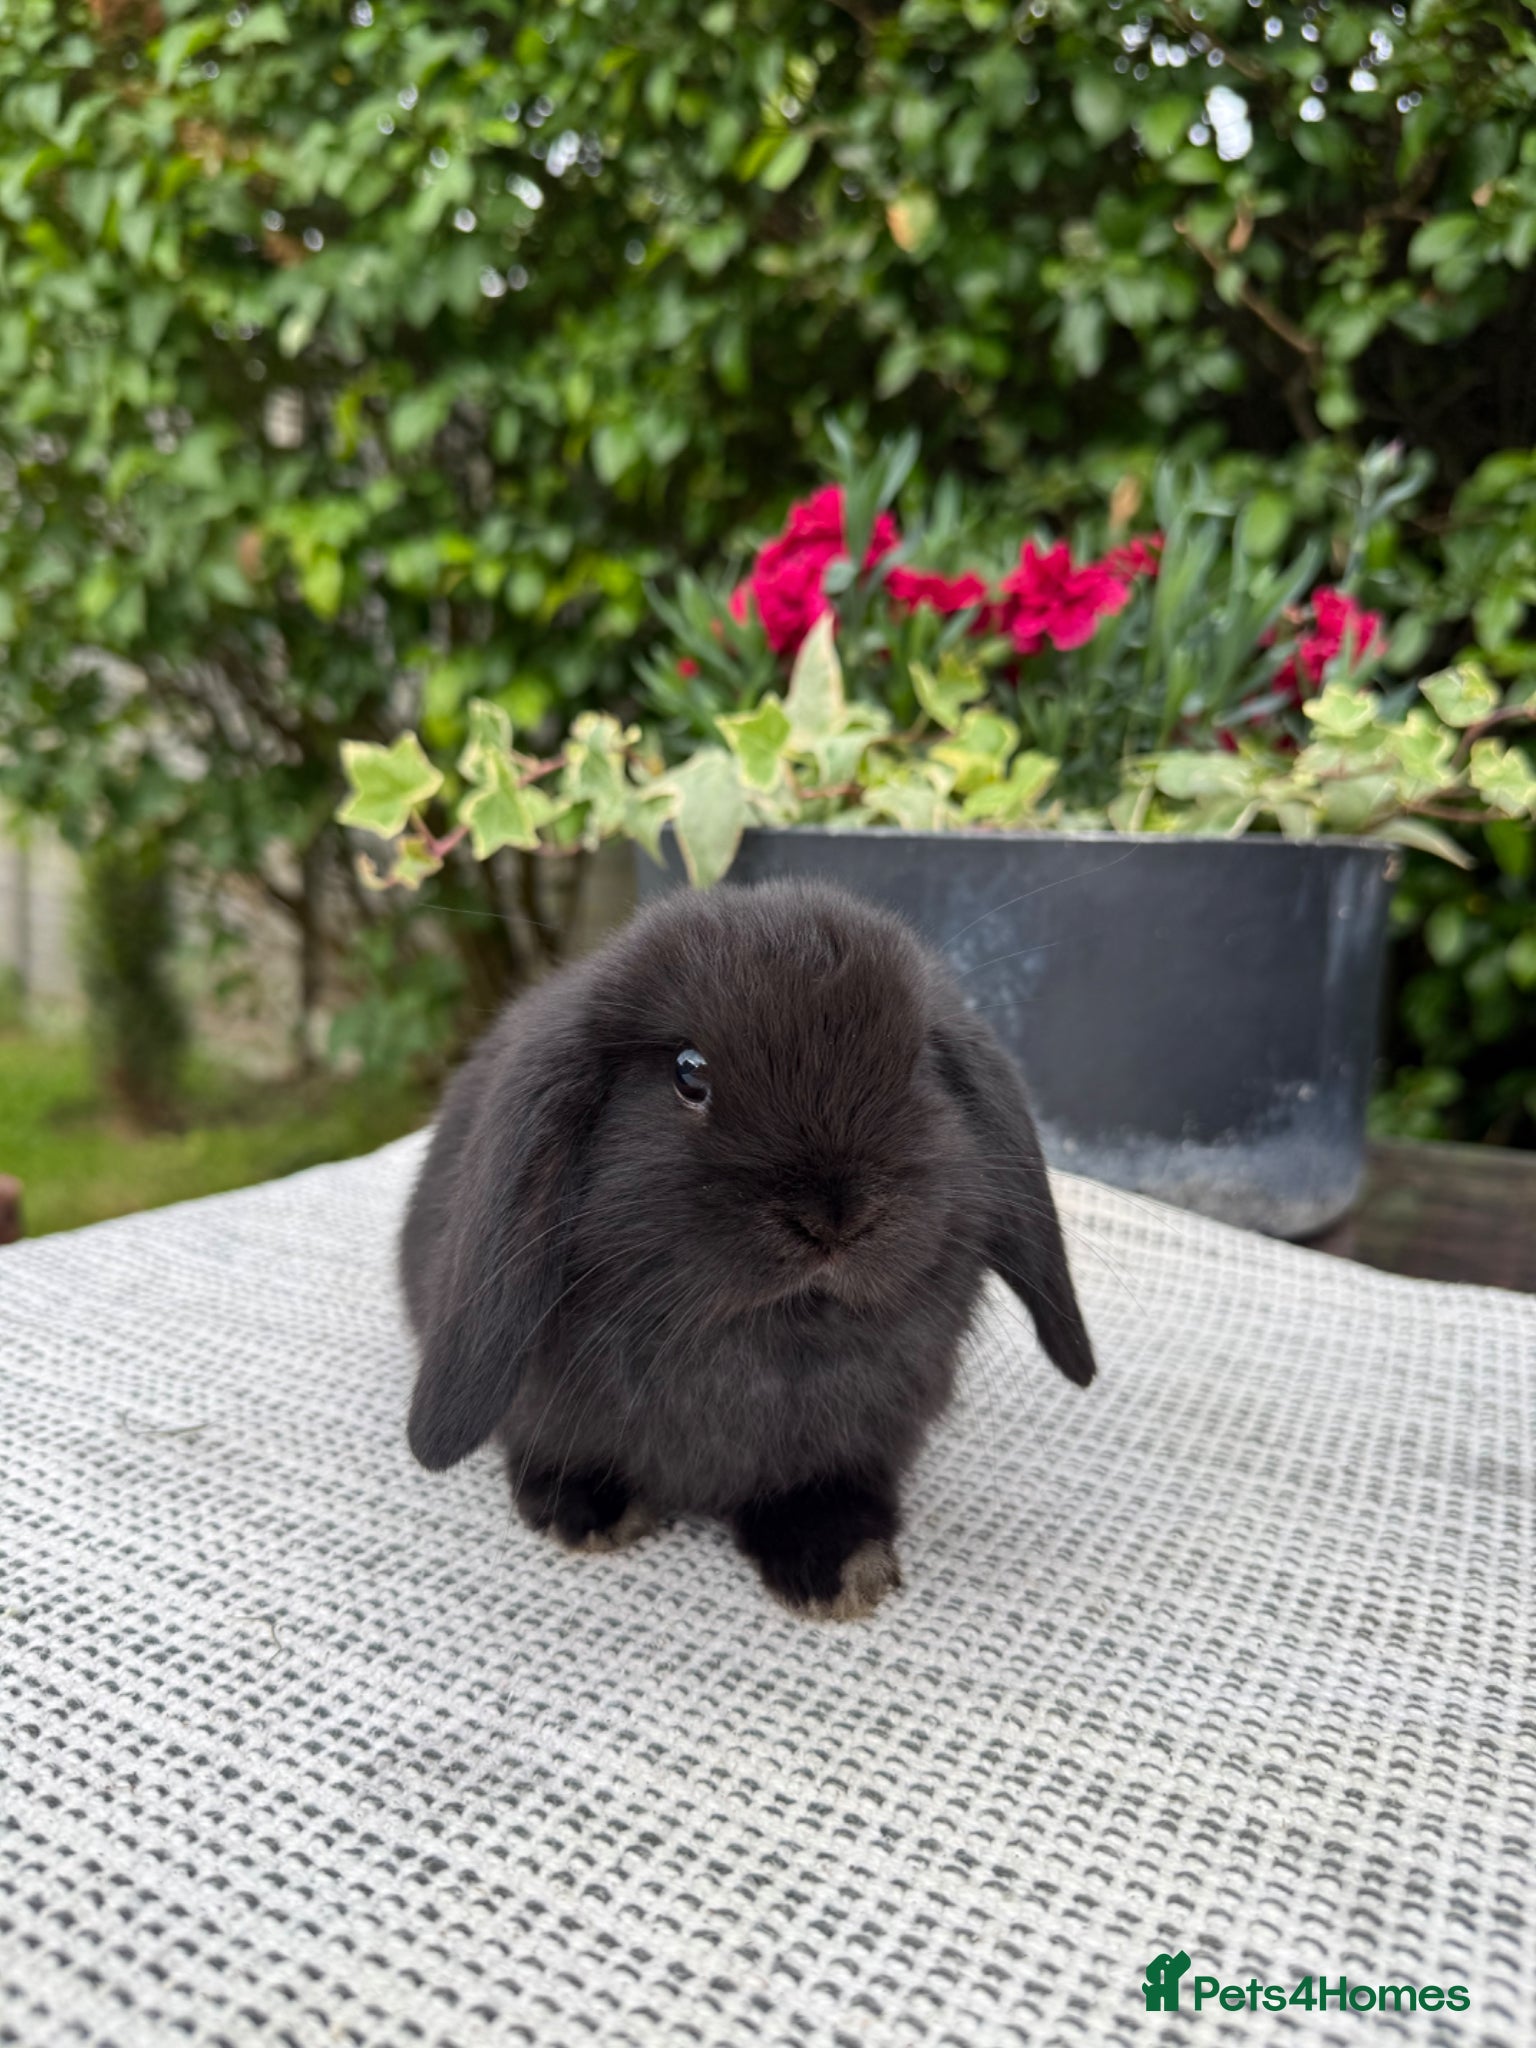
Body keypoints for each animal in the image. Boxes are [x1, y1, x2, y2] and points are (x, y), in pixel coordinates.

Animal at [400, 877, 1095, 1620]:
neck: (768, 1335)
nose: (835, 1217)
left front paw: (838, 1563)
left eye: (917, 1065)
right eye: (689, 1071)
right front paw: (579, 1511)